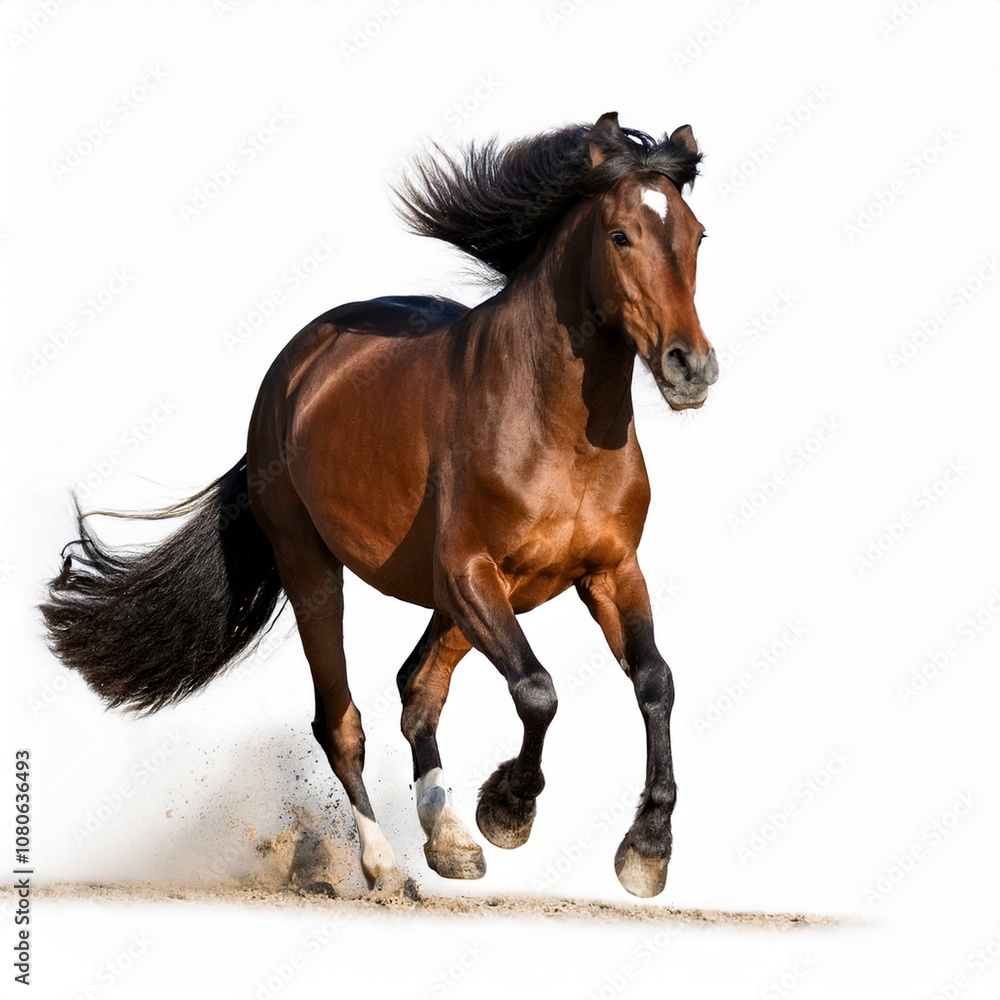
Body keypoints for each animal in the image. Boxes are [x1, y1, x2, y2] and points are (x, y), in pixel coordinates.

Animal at [41, 111, 717, 899]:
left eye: (698, 236)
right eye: (619, 236)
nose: (690, 367)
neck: (558, 425)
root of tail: (292, 369)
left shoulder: (608, 570)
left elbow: (654, 681)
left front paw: (646, 849)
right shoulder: (471, 571)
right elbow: (538, 690)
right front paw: (508, 810)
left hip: (470, 597)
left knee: (417, 685)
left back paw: (447, 838)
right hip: (316, 570)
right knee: (342, 721)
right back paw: (386, 864)